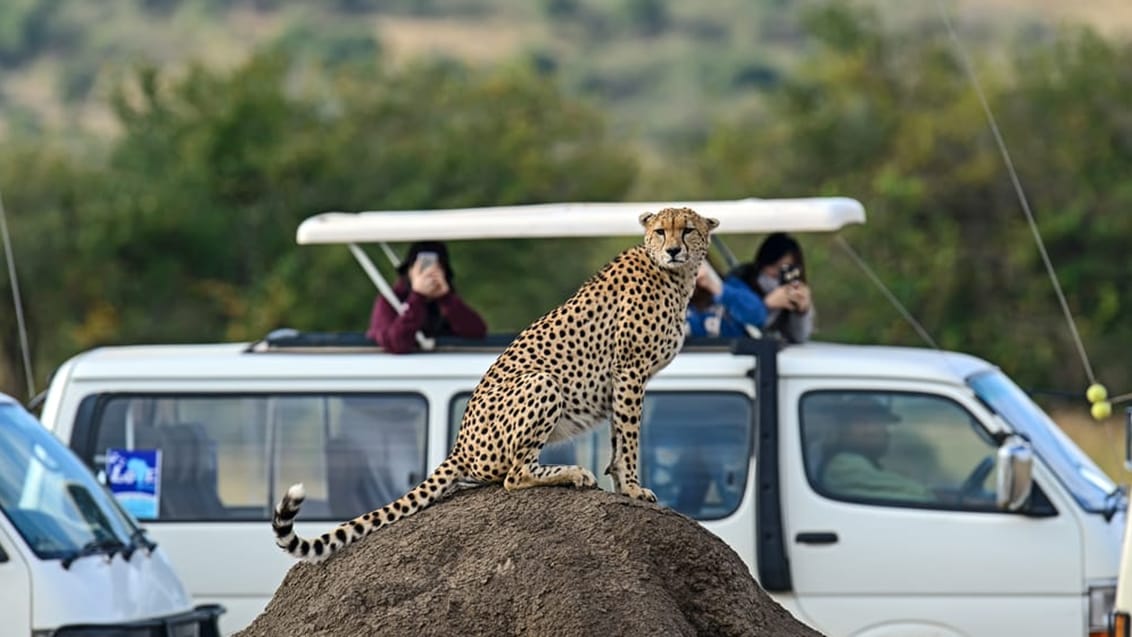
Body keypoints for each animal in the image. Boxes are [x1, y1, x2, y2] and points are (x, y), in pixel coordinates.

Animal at [272, 207, 720, 562]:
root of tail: (459, 445)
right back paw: (573, 473)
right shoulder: (628, 372)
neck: (672, 275)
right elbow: (629, 440)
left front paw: (622, 487)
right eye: (661, 231)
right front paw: (633, 489)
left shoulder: (621, 381)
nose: (673, 249)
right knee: (512, 476)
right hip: (542, 381)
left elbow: (617, 441)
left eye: (688, 230)